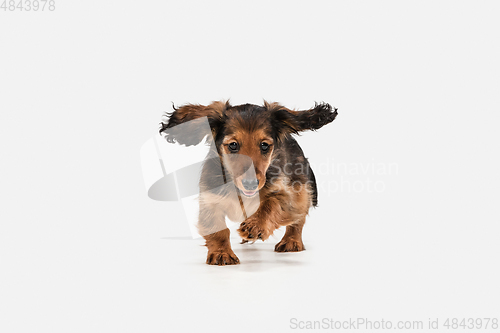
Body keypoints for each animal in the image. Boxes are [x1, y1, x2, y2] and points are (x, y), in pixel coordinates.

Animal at [160, 100, 340, 264]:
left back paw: (291, 241)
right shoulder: (210, 200)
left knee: (298, 220)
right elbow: (218, 230)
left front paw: (255, 225)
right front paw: (222, 253)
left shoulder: (286, 195)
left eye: (264, 145)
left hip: (300, 189)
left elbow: (272, 203)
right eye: (233, 145)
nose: (250, 183)